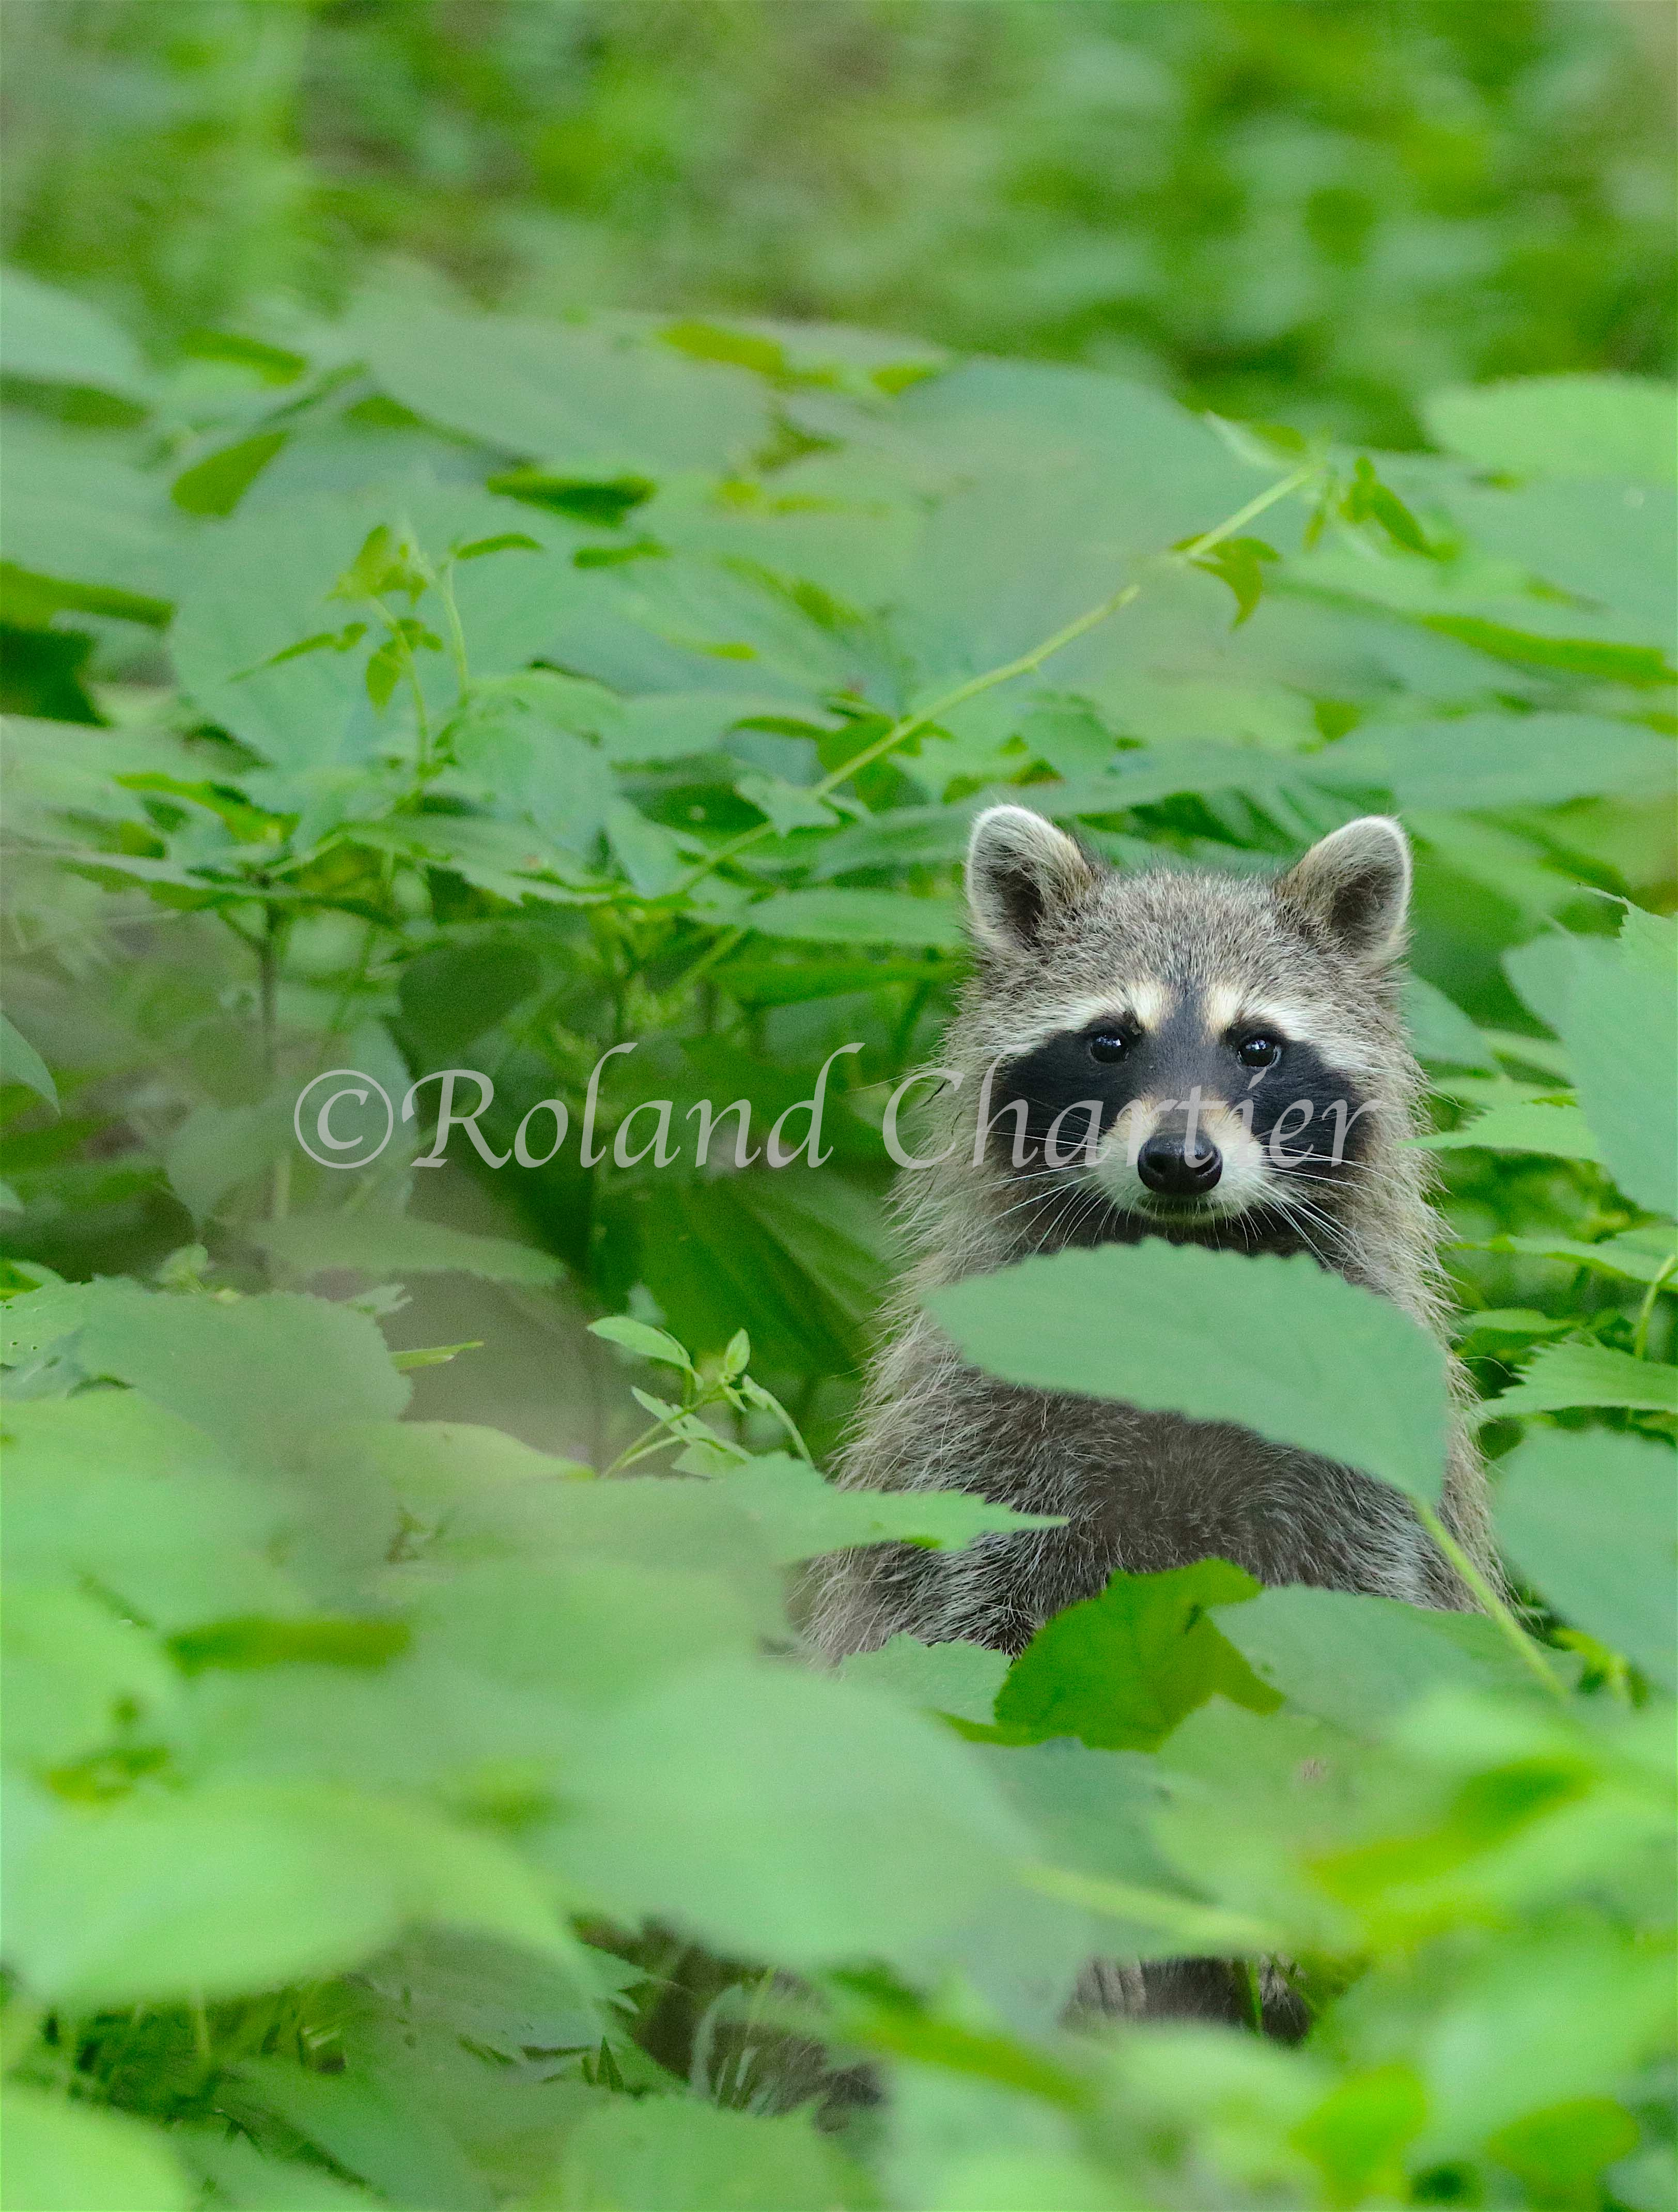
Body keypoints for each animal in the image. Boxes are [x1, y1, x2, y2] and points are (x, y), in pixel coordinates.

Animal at [813, 805, 1494, 1663]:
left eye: (1257, 1045)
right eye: (1111, 1040)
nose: (1179, 1161)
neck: (1184, 1277)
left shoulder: (1369, 1428)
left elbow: (1370, 1607)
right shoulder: (970, 1427)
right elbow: (955, 1614)